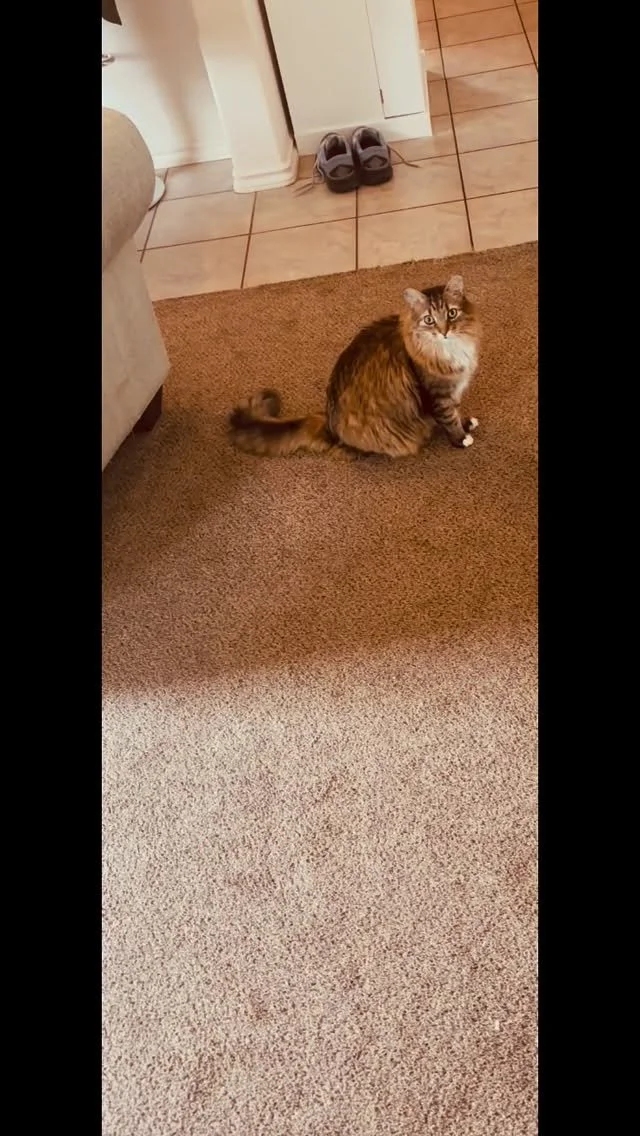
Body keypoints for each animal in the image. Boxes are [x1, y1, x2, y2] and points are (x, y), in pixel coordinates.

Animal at [228, 274, 481, 459]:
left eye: (452, 313)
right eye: (429, 320)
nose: (444, 332)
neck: (451, 348)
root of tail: (330, 424)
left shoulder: (452, 390)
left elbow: (456, 412)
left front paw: (466, 424)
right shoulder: (436, 395)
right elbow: (448, 419)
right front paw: (460, 439)